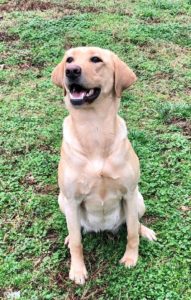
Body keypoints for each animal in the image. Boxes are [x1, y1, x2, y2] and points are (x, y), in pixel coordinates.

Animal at [51, 46, 156, 284]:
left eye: (96, 59)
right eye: (69, 59)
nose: (71, 71)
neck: (94, 129)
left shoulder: (129, 193)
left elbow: (132, 232)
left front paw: (131, 258)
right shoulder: (71, 199)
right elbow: (78, 242)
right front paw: (77, 270)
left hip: (139, 199)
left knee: (135, 223)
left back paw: (146, 231)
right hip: (62, 202)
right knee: (76, 231)